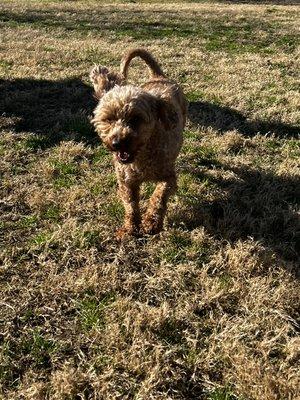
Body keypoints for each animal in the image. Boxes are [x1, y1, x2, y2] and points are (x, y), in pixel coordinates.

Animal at [90, 48, 186, 239]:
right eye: (109, 119)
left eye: (136, 119)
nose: (117, 142)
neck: (142, 156)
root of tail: (158, 76)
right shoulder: (127, 182)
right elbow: (131, 205)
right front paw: (130, 227)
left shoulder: (168, 177)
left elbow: (158, 196)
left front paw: (151, 222)